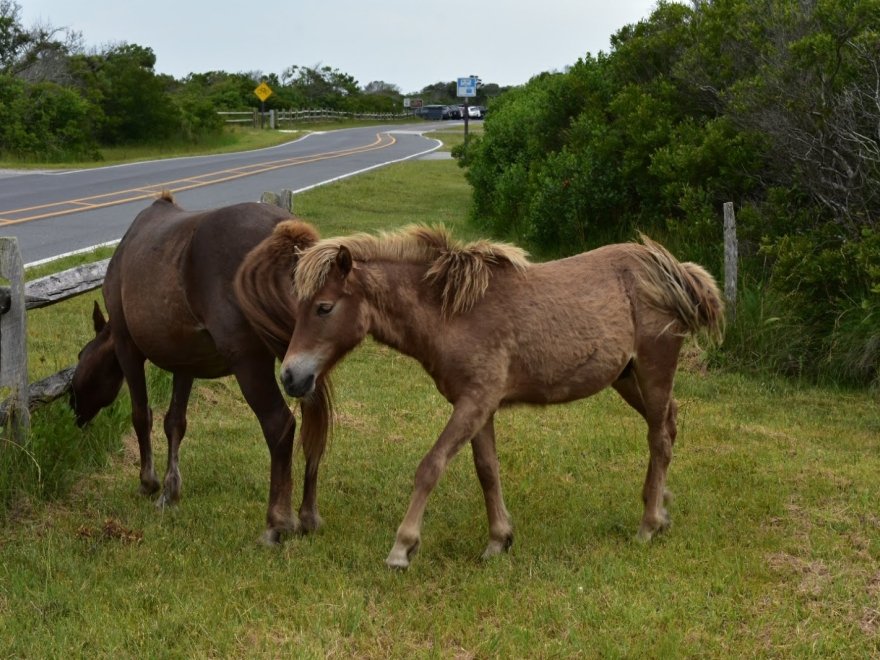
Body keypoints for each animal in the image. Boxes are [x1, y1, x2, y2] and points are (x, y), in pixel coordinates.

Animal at [70, 193, 332, 544]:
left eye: (81, 355)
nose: (73, 404)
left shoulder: (127, 348)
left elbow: (142, 416)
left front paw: (148, 483)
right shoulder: (186, 362)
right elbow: (175, 423)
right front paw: (170, 492)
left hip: (249, 362)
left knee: (280, 424)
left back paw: (277, 523)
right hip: (305, 365)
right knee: (314, 426)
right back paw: (308, 516)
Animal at [268, 226, 720, 568]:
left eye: (324, 307)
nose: (290, 376)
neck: (453, 312)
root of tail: (673, 269)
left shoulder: (475, 402)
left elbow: (431, 466)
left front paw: (402, 547)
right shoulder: (479, 408)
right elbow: (487, 470)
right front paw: (498, 540)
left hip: (654, 368)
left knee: (659, 437)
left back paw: (648, 525)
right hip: (627, 378)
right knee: (668, 425)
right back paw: (661, 508)